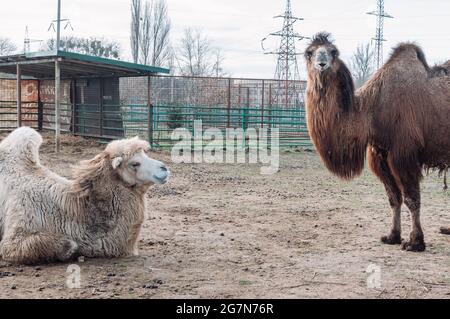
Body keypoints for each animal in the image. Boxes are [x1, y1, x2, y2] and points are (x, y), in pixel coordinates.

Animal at [304, 32, 448, 252]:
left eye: (333, 51)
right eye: (309, 52)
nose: (322, 63)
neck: (372, 110)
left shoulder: (404, 152)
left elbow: (412, 199)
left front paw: (415, 242)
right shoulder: (380, 154)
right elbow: (394, 198)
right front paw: (392, 236)